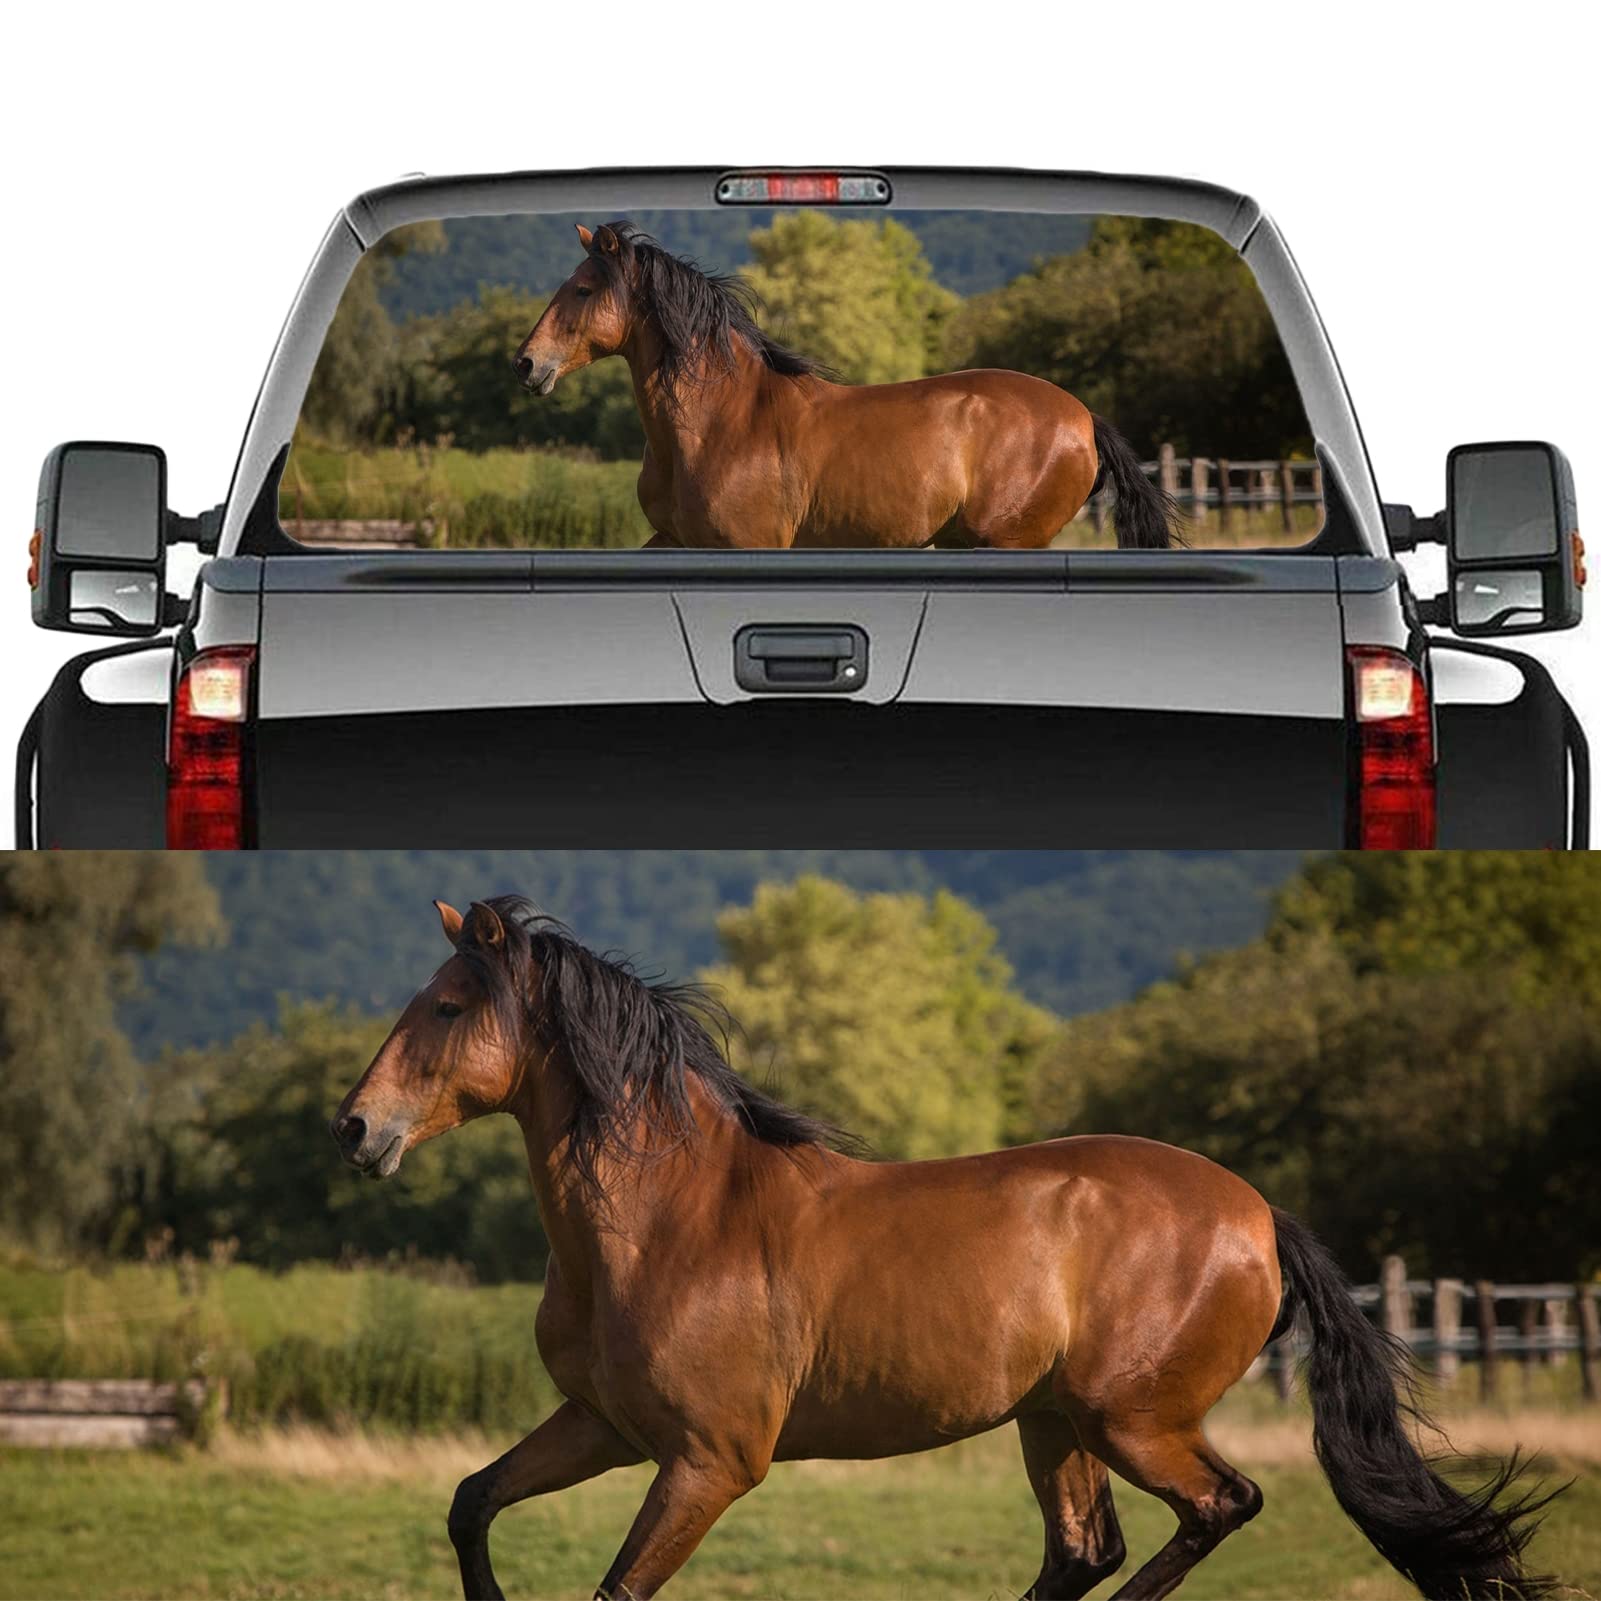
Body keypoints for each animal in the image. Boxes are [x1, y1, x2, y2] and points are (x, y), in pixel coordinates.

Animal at [331, 897, 1554, 1601]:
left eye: (447, 1006)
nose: (353, 1127)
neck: (668, 1218)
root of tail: (1259, 1214)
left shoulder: (706, 1461)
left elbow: (614, 1590)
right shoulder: (604, 1427)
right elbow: (472, 1502)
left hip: (1131, 1419)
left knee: (1216, 1508)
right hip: (1055, 1423)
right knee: (1081, 1552)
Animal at [510, 222, 1184, 552]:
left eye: (583, 289)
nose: (526, 364)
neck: (716, 424)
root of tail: (1085, 418)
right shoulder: (675, 539)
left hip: (1009, 543)